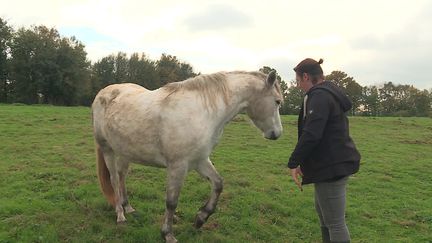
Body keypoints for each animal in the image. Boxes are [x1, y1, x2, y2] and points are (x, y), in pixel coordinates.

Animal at [91, 69, 284, 242]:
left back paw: (128, 207)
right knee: (114, 180)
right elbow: (171, 201)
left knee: (122, 177)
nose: (276, 134)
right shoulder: (178, 166)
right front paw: (167, 234)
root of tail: (103, 93)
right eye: (277, 101)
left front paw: (200, 218)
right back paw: (120, 215)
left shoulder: (200, 160)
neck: (202, 112)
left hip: (125, 152)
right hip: (108, 150)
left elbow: (218, 184)